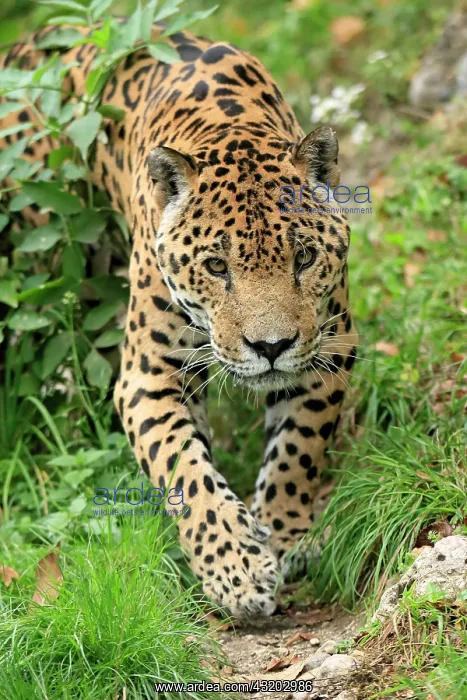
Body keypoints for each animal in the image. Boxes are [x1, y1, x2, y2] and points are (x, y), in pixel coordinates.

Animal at [0, 22, 358, 618]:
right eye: (216, 266)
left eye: (304, 257)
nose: (271, 347)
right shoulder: (150, 375)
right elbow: (184, 471)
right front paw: (237, 569)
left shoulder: (329, 351)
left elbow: (297, 454)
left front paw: (282, 536)